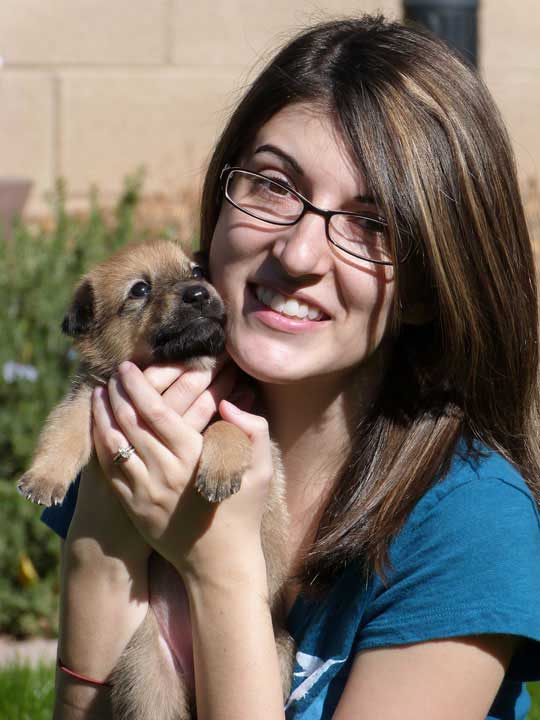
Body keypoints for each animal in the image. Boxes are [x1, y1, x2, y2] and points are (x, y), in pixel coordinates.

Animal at [17, 239, 296, 716]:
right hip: (149, 673)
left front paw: (218, 471)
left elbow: (226, 428)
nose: (199, 294)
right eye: (140, 290)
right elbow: (63, 434)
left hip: (277, 650)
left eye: (198, 271)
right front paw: (44, 477)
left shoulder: (243, 410)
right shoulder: (88, 397)